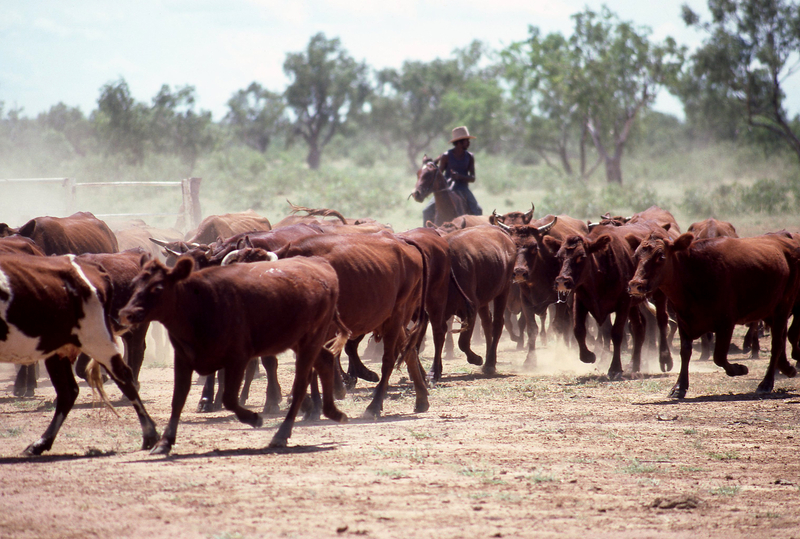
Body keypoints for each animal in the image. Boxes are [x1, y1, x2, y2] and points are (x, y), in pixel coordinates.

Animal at [119, 255, 350, 453]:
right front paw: (164, 442)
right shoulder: (183, 358)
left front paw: (255, 418)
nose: (126, 313)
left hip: (311, 340)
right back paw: (334, 412)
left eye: (157, 287)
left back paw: (281, 435)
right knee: (326, 360)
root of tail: (321, 265)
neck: (198, 304)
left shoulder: (238, 358)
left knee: (301, 384)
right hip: (299, 341)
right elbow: (178, 399)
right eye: (134, 285)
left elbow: (229, 398)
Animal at [628, 232, 800, 398]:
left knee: (777, 343)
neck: (693, 273)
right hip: (769, 311)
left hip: (783, 306)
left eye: (661, 256)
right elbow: (685, 353)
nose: (635, 285)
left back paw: (766, 383)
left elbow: (719, 356)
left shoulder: (726, 323)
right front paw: (679, 387)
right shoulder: (684, 321)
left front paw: (739, 369)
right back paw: (787, 368)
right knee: (781, 340)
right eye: (636, 256)